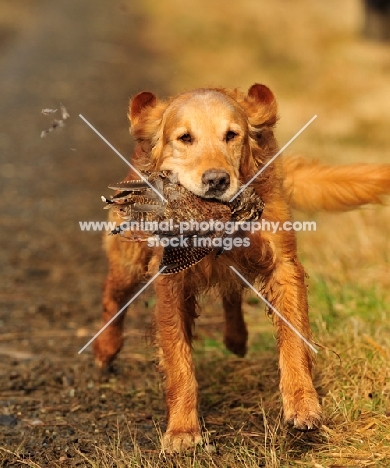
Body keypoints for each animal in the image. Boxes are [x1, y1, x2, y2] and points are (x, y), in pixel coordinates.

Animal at [93, 86, 390, 452]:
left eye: (231, 135)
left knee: (231, 293)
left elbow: (294, 338)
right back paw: (105, 348)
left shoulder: (282, 266)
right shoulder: (171, 278)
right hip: (129, 260)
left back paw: (236, 337)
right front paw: (182, 429)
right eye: (185, 137)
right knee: (112, 295)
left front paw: (303, 404)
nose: (217, 180)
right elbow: (178, 359)